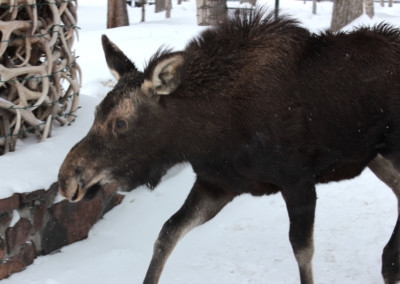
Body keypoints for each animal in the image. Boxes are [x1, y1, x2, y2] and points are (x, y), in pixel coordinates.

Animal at [57, 10, 400, 284]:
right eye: (96, 112)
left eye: (120, 123)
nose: (66, 180)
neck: (210, 133)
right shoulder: (217, 184)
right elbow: (166, 234)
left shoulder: (298, 181)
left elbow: (303, 251)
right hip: (378, 158)